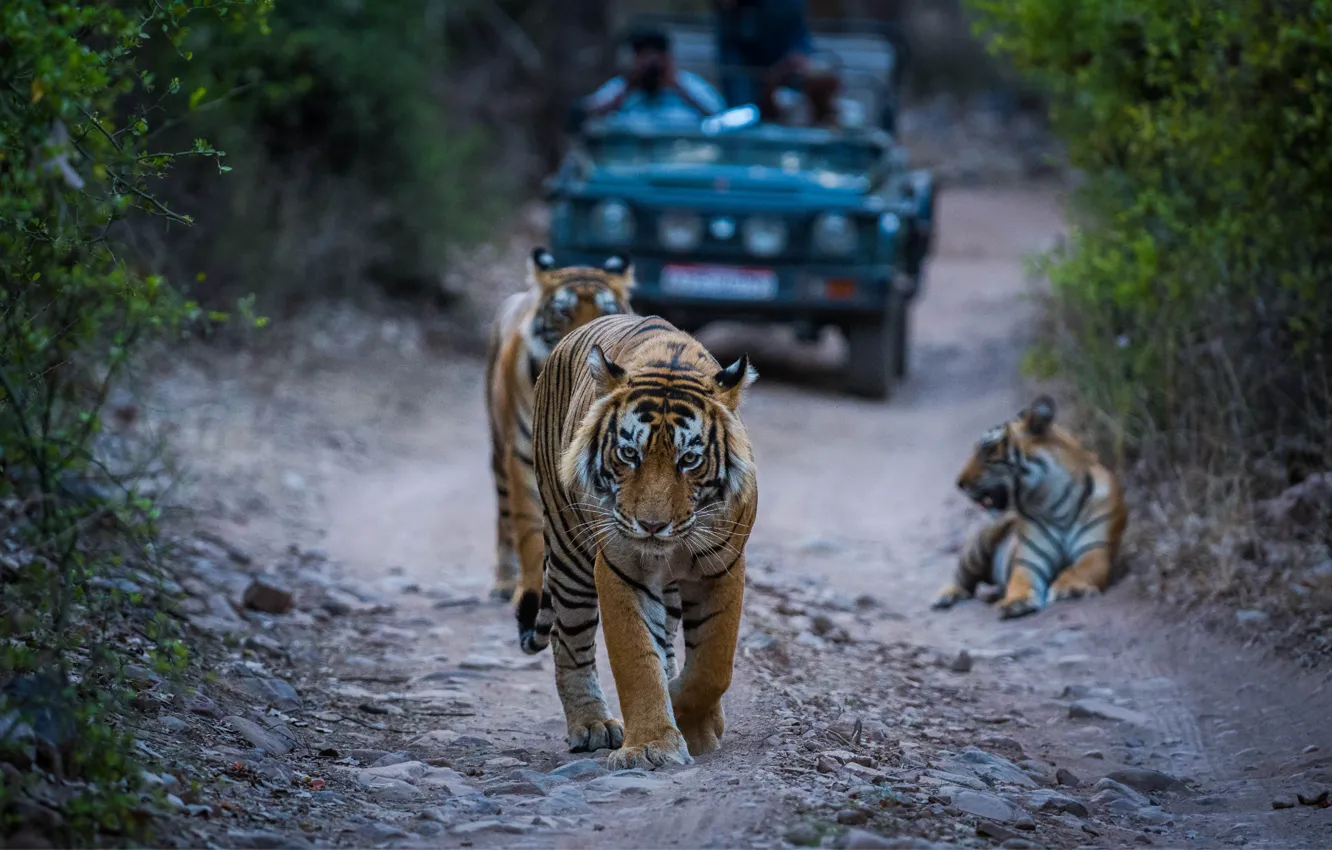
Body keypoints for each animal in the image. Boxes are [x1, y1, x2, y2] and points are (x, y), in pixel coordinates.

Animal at [486, 248, 635, 604]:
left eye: (607, 310)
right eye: (564, 311)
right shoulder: (522, 456)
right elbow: (527, 528)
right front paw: (529, 589)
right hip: (498, 449)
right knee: (504, 515)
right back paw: (503, 582)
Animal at [517, 313, 759, 771]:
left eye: (689, 460)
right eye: (629, 454)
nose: (651, 525)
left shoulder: (724, 565)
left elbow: (714, 663)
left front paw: (692, 718)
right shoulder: (620, 566)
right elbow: (636, 660)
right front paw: (651, 744)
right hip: (569, 552)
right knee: (568, 641)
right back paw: (592, 725)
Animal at [931, 394, 1128, 620]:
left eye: (988, 449)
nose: (959, 483)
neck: (1054, 503)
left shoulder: (1095, 549)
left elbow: (1080, 569)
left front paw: (1069, 588)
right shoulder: (1028, 560)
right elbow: (1020, 580)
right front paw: (1015, 602)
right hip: (980, 543)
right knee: (962, 578)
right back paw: (944, 596)